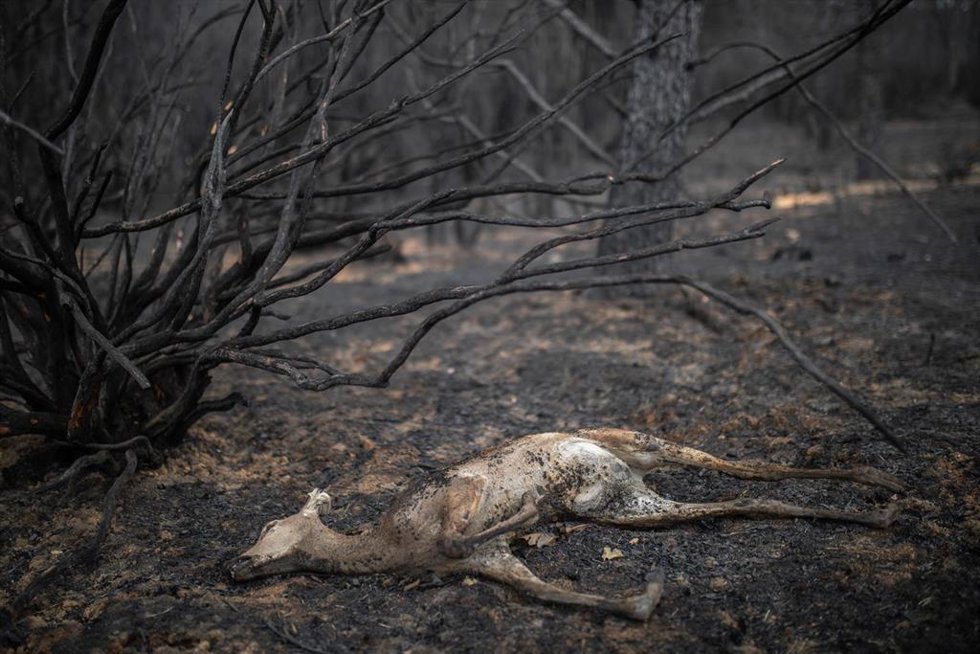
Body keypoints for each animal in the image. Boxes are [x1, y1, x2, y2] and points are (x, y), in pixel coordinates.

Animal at [228, 428, 903, 621]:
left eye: (269, 524)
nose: (233, 563)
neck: (385, 544)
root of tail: (628, 474)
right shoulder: (492, 562)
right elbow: (553, 591)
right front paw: (645, 598)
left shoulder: (456, 491)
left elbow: (459, 527)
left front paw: (532, 510)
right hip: (629, 508)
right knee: (739, 502)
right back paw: (881, 506)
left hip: (638, 442)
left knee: (737, 465)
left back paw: (885, 483)